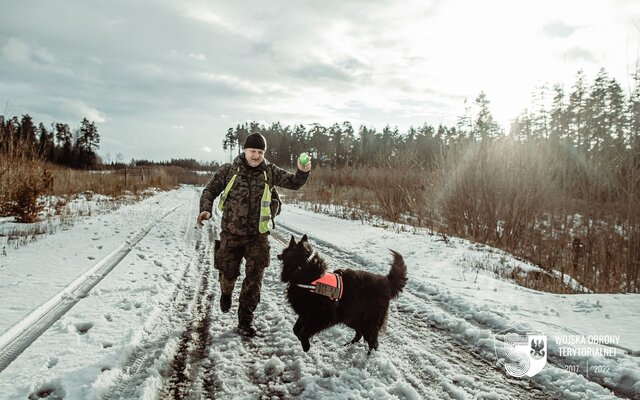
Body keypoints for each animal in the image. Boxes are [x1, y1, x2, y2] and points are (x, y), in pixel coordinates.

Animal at [278, 234, 408, 354]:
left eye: (287, 249)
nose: (278, 255)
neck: (304, 270)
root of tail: (386, 281)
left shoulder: (322, 316)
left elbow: (302, 333)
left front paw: (306, 346)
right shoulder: (306, 313)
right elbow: (295, 330)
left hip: (368, 322)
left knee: (373, 343)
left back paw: (369, 357)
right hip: (352, 317)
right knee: (359, 333)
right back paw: (347, 345)